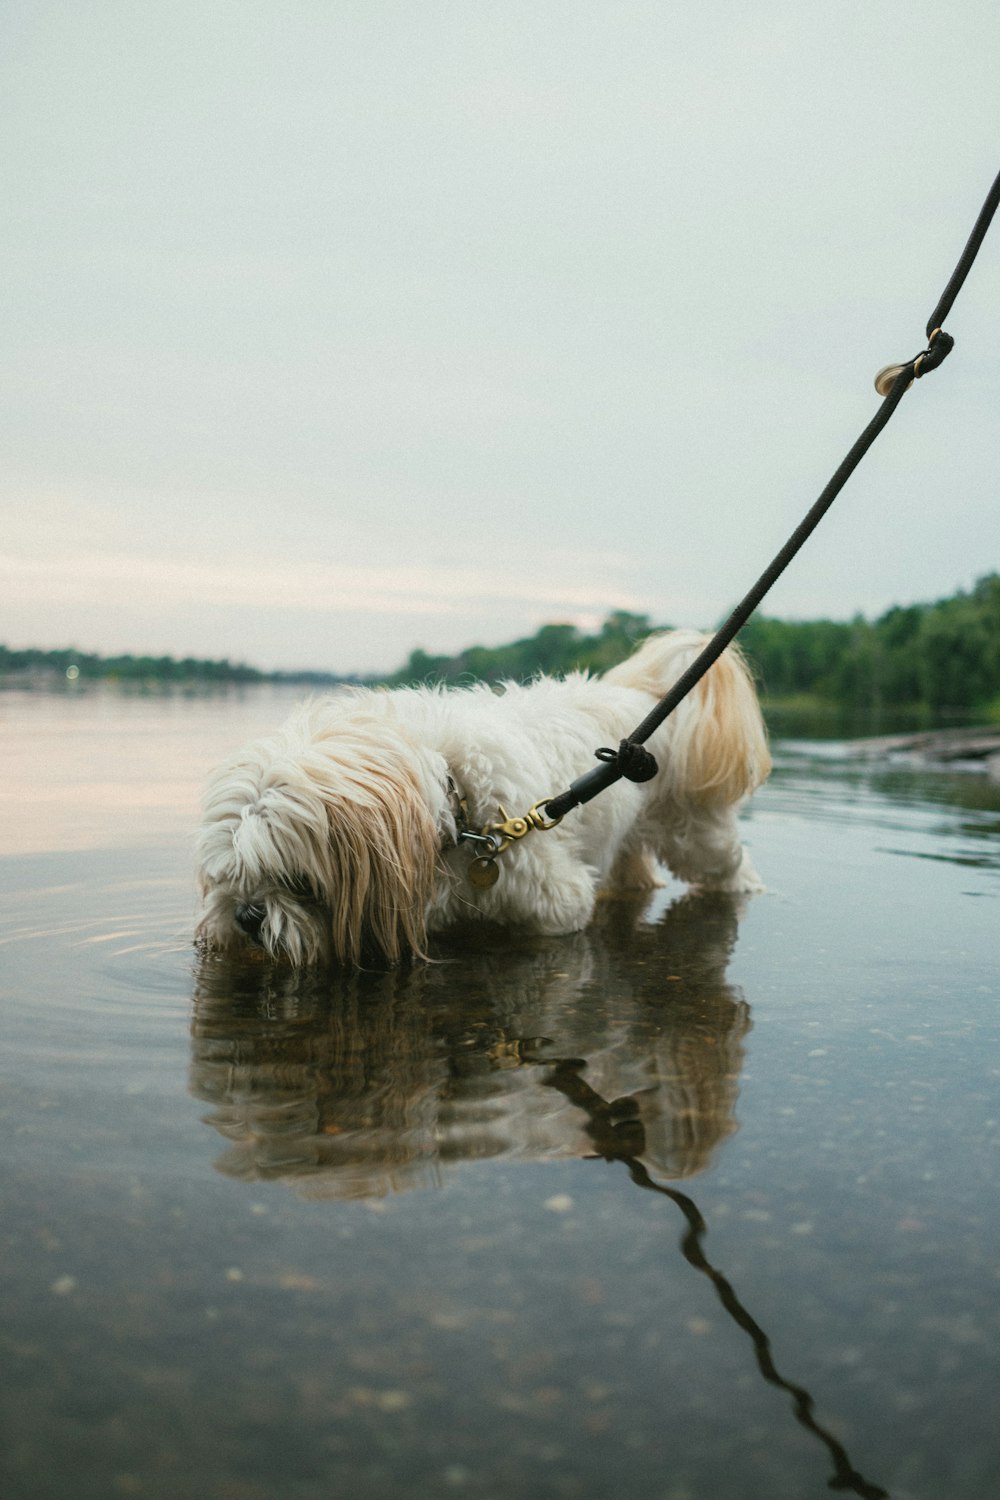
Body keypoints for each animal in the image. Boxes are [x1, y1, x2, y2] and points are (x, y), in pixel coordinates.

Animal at [197, 630, 773, 960]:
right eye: (229, 878)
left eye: (299, 881)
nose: (246, 916)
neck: (457, 804)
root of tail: (646, 699)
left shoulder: (555, 910)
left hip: (696, 836)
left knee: (728, 867)